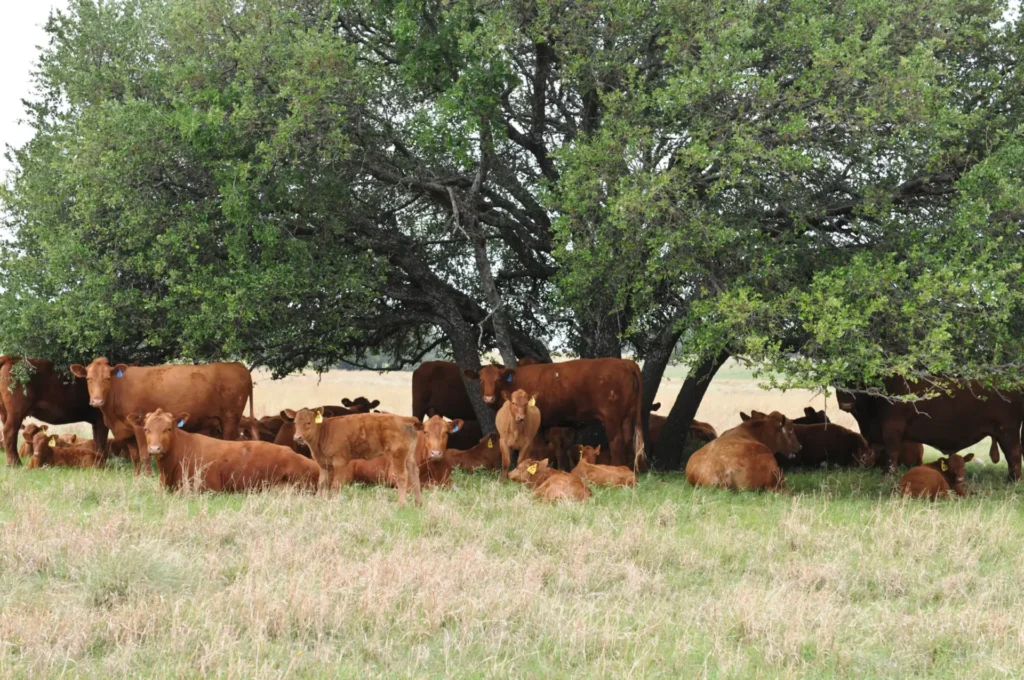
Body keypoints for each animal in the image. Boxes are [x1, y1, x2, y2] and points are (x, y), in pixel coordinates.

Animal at [69, 358, 256, 473]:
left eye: (107, 378)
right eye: (88, 379)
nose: (96, 401)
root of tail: (238, 366)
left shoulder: (139, 426)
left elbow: (144, 454)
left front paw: (147, 477)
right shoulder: (127, 430)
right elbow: (135, 456)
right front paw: (137, 478)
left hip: (230, 419)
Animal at [281, 409, 423, 505]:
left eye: (309, 422)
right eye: (295, 422)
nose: (297, 437)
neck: (325, 431)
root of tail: (402, 419)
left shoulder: (340, 461)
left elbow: (336, 483)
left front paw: (334, 501)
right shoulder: (324, 464)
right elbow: (322, 483)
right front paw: (318, 500)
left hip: (397, 456)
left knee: (402, 476)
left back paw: (401, 504)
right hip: (409, 457)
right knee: (414, 472)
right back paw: (418, 503)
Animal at [464, 358, 645, 468]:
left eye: (497, 380)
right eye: (481, 380)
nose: (488, 397)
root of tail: (625, 362)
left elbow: (534, 449)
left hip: (611, 417)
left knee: (616, 442)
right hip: (628, 416)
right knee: (627, 440)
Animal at [837, 379, 1024, 479]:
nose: (845, 403)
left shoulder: (893, 428)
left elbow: (892, 453)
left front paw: (889, 476)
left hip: (1008, 431)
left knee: (1014, 454)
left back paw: (1013, 480)